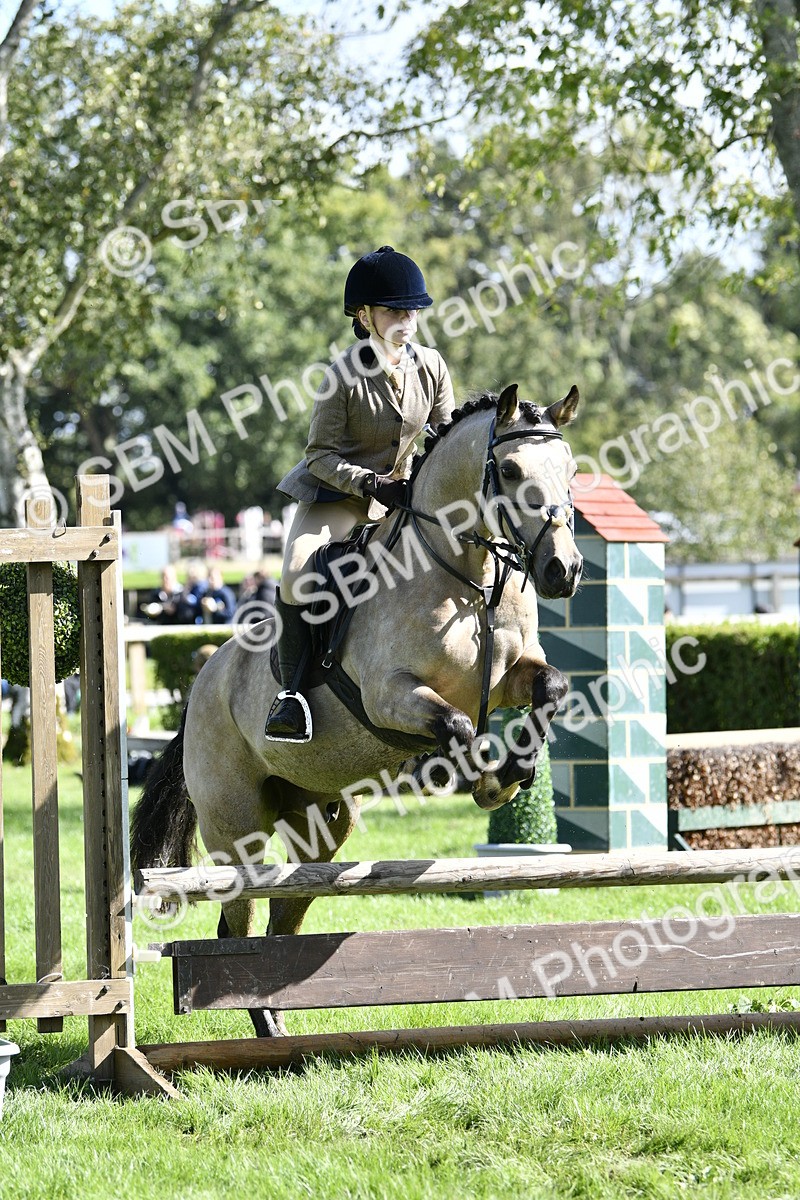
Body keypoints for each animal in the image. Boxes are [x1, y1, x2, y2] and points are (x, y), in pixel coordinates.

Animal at [131, 382, 583, 1037]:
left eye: (571, 470)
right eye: (511, 470)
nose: (562, 571)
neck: (462, 576)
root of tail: (202, 683)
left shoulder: (514, 677)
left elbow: (552, 688)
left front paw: (516, 771)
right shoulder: (392, 695)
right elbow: (458, 725)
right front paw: (488, 783)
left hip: (319, 827)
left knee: (282, 917)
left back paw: (275, 1022)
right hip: (234, 826)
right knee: (237, 919)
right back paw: (259, 1022)